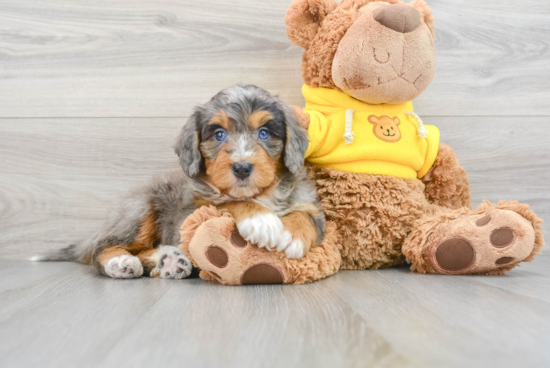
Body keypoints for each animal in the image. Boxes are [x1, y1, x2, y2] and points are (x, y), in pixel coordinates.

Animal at [43, 84, 328, 278]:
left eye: (265, 133)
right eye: (219, 134)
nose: (242, 167)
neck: (259, 195)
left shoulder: (309, 202)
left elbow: (307, 216)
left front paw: (292, 236)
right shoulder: (189, 215)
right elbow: (228, 202)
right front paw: (260, 220)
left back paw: (168, 260)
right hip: (139, 210)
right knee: (103, 248)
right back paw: (120, 263)